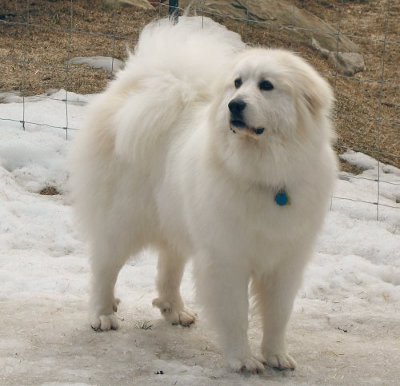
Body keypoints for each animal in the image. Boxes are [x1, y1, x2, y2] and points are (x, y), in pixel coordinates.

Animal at [69, 16, 338, 372]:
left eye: (266, 85)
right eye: (237, 83)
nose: (234, 105)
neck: (264, 171)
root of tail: (130, 91)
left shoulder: (285, 261)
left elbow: (278, 315)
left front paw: (276, 355)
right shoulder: (227, 259)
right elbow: (237, 315)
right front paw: (243, 359)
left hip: (175, 219)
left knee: (168, 268)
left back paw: (174, 310)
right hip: (123, 220)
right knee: (104, 266)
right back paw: (102, 314)